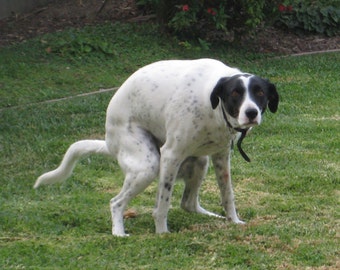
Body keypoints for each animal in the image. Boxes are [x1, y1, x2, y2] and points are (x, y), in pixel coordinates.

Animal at [34, 58, 278, 235]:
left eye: (260, 93)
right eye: (235, 93)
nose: (251, 113)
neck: (213, 106)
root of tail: (109, 142)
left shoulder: (221, 157)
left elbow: (228, 195)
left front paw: (233, 221)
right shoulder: (170, 156)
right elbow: (162, 205)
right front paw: (162, 233)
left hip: (200, 162)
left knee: (188, 203)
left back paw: (210, 216)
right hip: (148, 165)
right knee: (116, 202)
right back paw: (118, 232)